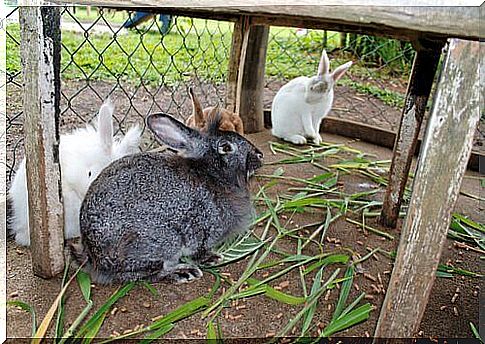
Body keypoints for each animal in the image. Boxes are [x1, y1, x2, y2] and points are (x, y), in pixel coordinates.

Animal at [71, 111, 260, 284]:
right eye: (226, 147)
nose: (259, 155)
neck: (211, 174)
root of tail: (94, 258)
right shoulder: (200, 231)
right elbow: (199, 252)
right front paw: (212, 258)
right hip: (163, 243)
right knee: (142, 275)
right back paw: (182, 273)